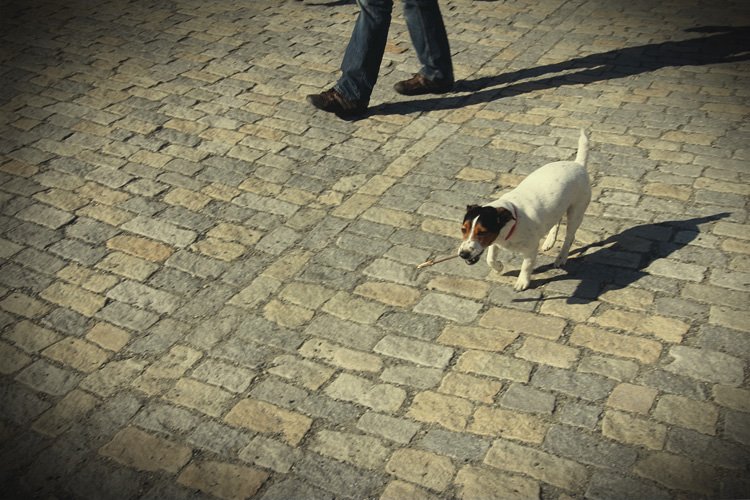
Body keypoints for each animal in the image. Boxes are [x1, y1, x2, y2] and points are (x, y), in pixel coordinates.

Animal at [458, 129, 592, 292]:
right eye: (463, 229)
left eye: (482, 232)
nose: (463, 254)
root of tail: (578, 164)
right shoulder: (495, 242)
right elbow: (490, 258)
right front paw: (499, 267)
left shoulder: (530, 249)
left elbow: (526, 266)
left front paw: (522, 282)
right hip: (559, 206)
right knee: (556, 220)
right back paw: (549, 241)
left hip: (576, 212)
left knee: (569, 237)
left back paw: (561, 258)